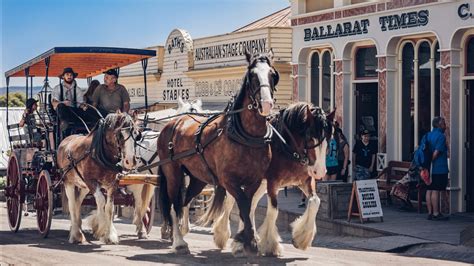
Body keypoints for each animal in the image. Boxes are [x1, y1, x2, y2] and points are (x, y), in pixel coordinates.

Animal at [56, 113, 140, 244]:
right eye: (120, 134)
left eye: (136, 134)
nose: (130, 161)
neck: (100, 153)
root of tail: (65, 140)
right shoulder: (91, 182)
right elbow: (101, 201)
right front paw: (100, 229)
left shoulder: (112, 184)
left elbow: (109, 208)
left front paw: (109, 235)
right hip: (68, 182)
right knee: (72, 205)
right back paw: (75, 234)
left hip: (83, 186)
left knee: (77, 202)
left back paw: (77, 227)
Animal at [157, 50, 280, 256]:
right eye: (252, 75)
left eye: (273, 75)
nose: (266, 104)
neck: (246, 135)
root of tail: (172, 123)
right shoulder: (229, 180)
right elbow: (243, 205)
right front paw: (248, 241)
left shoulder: (254, 180)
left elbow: (247, 208)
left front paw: (244, 239)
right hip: (172, 172)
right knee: (174, 204)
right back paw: (179, 241)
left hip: (197, 178)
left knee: (184, 202)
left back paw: (182, 231)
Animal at [200, 103, 334, 256]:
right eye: (310, 137)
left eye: (329, 138)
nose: (320, 171)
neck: (288, 147)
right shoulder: (273, 183)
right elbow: (273, 211)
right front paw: (270, 244)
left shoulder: (305, 181)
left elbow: (315, 201)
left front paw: (301, 239)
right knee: (231, 204)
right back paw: (224, 236)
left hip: (259, 184)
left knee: (250, 206)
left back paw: (246, 238)